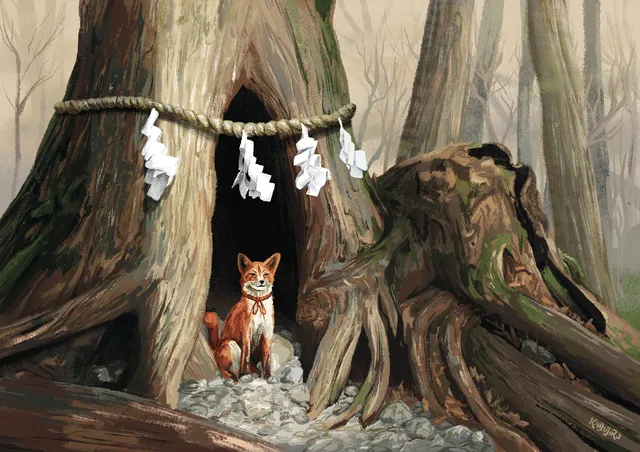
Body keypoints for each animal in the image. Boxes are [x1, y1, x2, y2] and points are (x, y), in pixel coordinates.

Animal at [204, 252, 280, 382]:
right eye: (253, 274)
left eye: (265, 274)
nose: (261, 281)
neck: (258, 301)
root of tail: (216, 347)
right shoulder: (247, 332)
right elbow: (246, 356)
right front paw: (245, 374)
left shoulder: (267, 333)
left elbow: (266, 359)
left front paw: (267, 376)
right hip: (232, 344)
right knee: (225, 369)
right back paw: (235, 378)